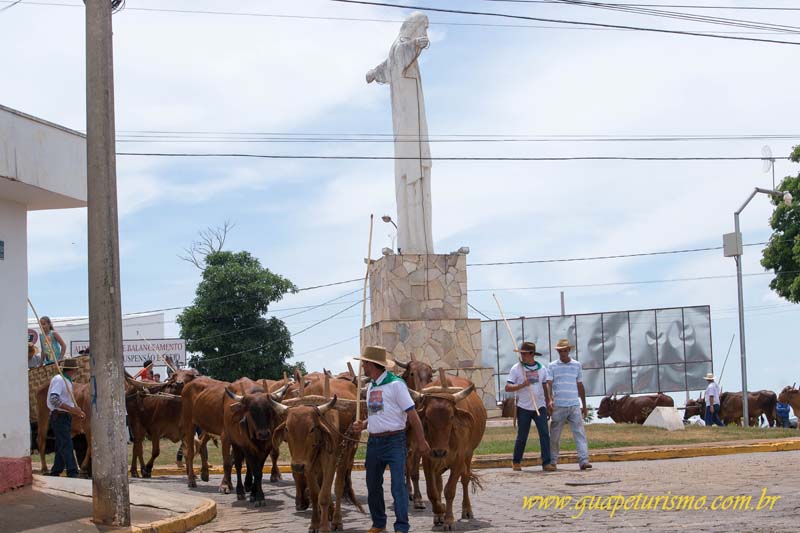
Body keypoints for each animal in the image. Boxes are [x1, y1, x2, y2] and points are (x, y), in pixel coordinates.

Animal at [410, 370, 484, 528]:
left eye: (451, 417)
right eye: (427, 417)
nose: (440, 451)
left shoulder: (459, 459)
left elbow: (450, 490)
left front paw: (449, 519)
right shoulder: (427, 458)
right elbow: (432, 491)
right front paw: (440, 511)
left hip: (468, 455)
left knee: (465, 479)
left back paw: (467, 510)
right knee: (438, 484)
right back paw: (439, 515)